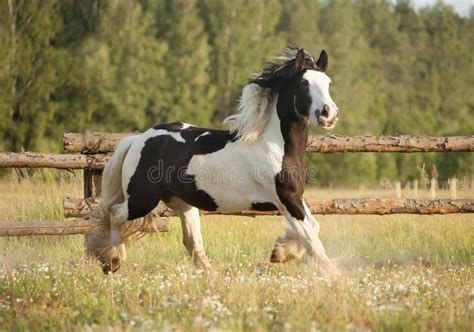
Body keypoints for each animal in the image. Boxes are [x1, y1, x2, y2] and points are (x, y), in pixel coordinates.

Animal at [86, 47, 340, 278]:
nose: (329, 115)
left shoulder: (295, 197)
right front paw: (335, 277)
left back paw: (212, 276)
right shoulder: (285, 198)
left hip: (182, 202)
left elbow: (314, 228)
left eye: (328, 83)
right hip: (142, 200)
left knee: (191, 242)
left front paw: (280, 252)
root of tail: (138, 139)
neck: (275, 146)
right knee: (115, 214)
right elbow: (313, 241)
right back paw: (114, 260)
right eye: (304, 83)